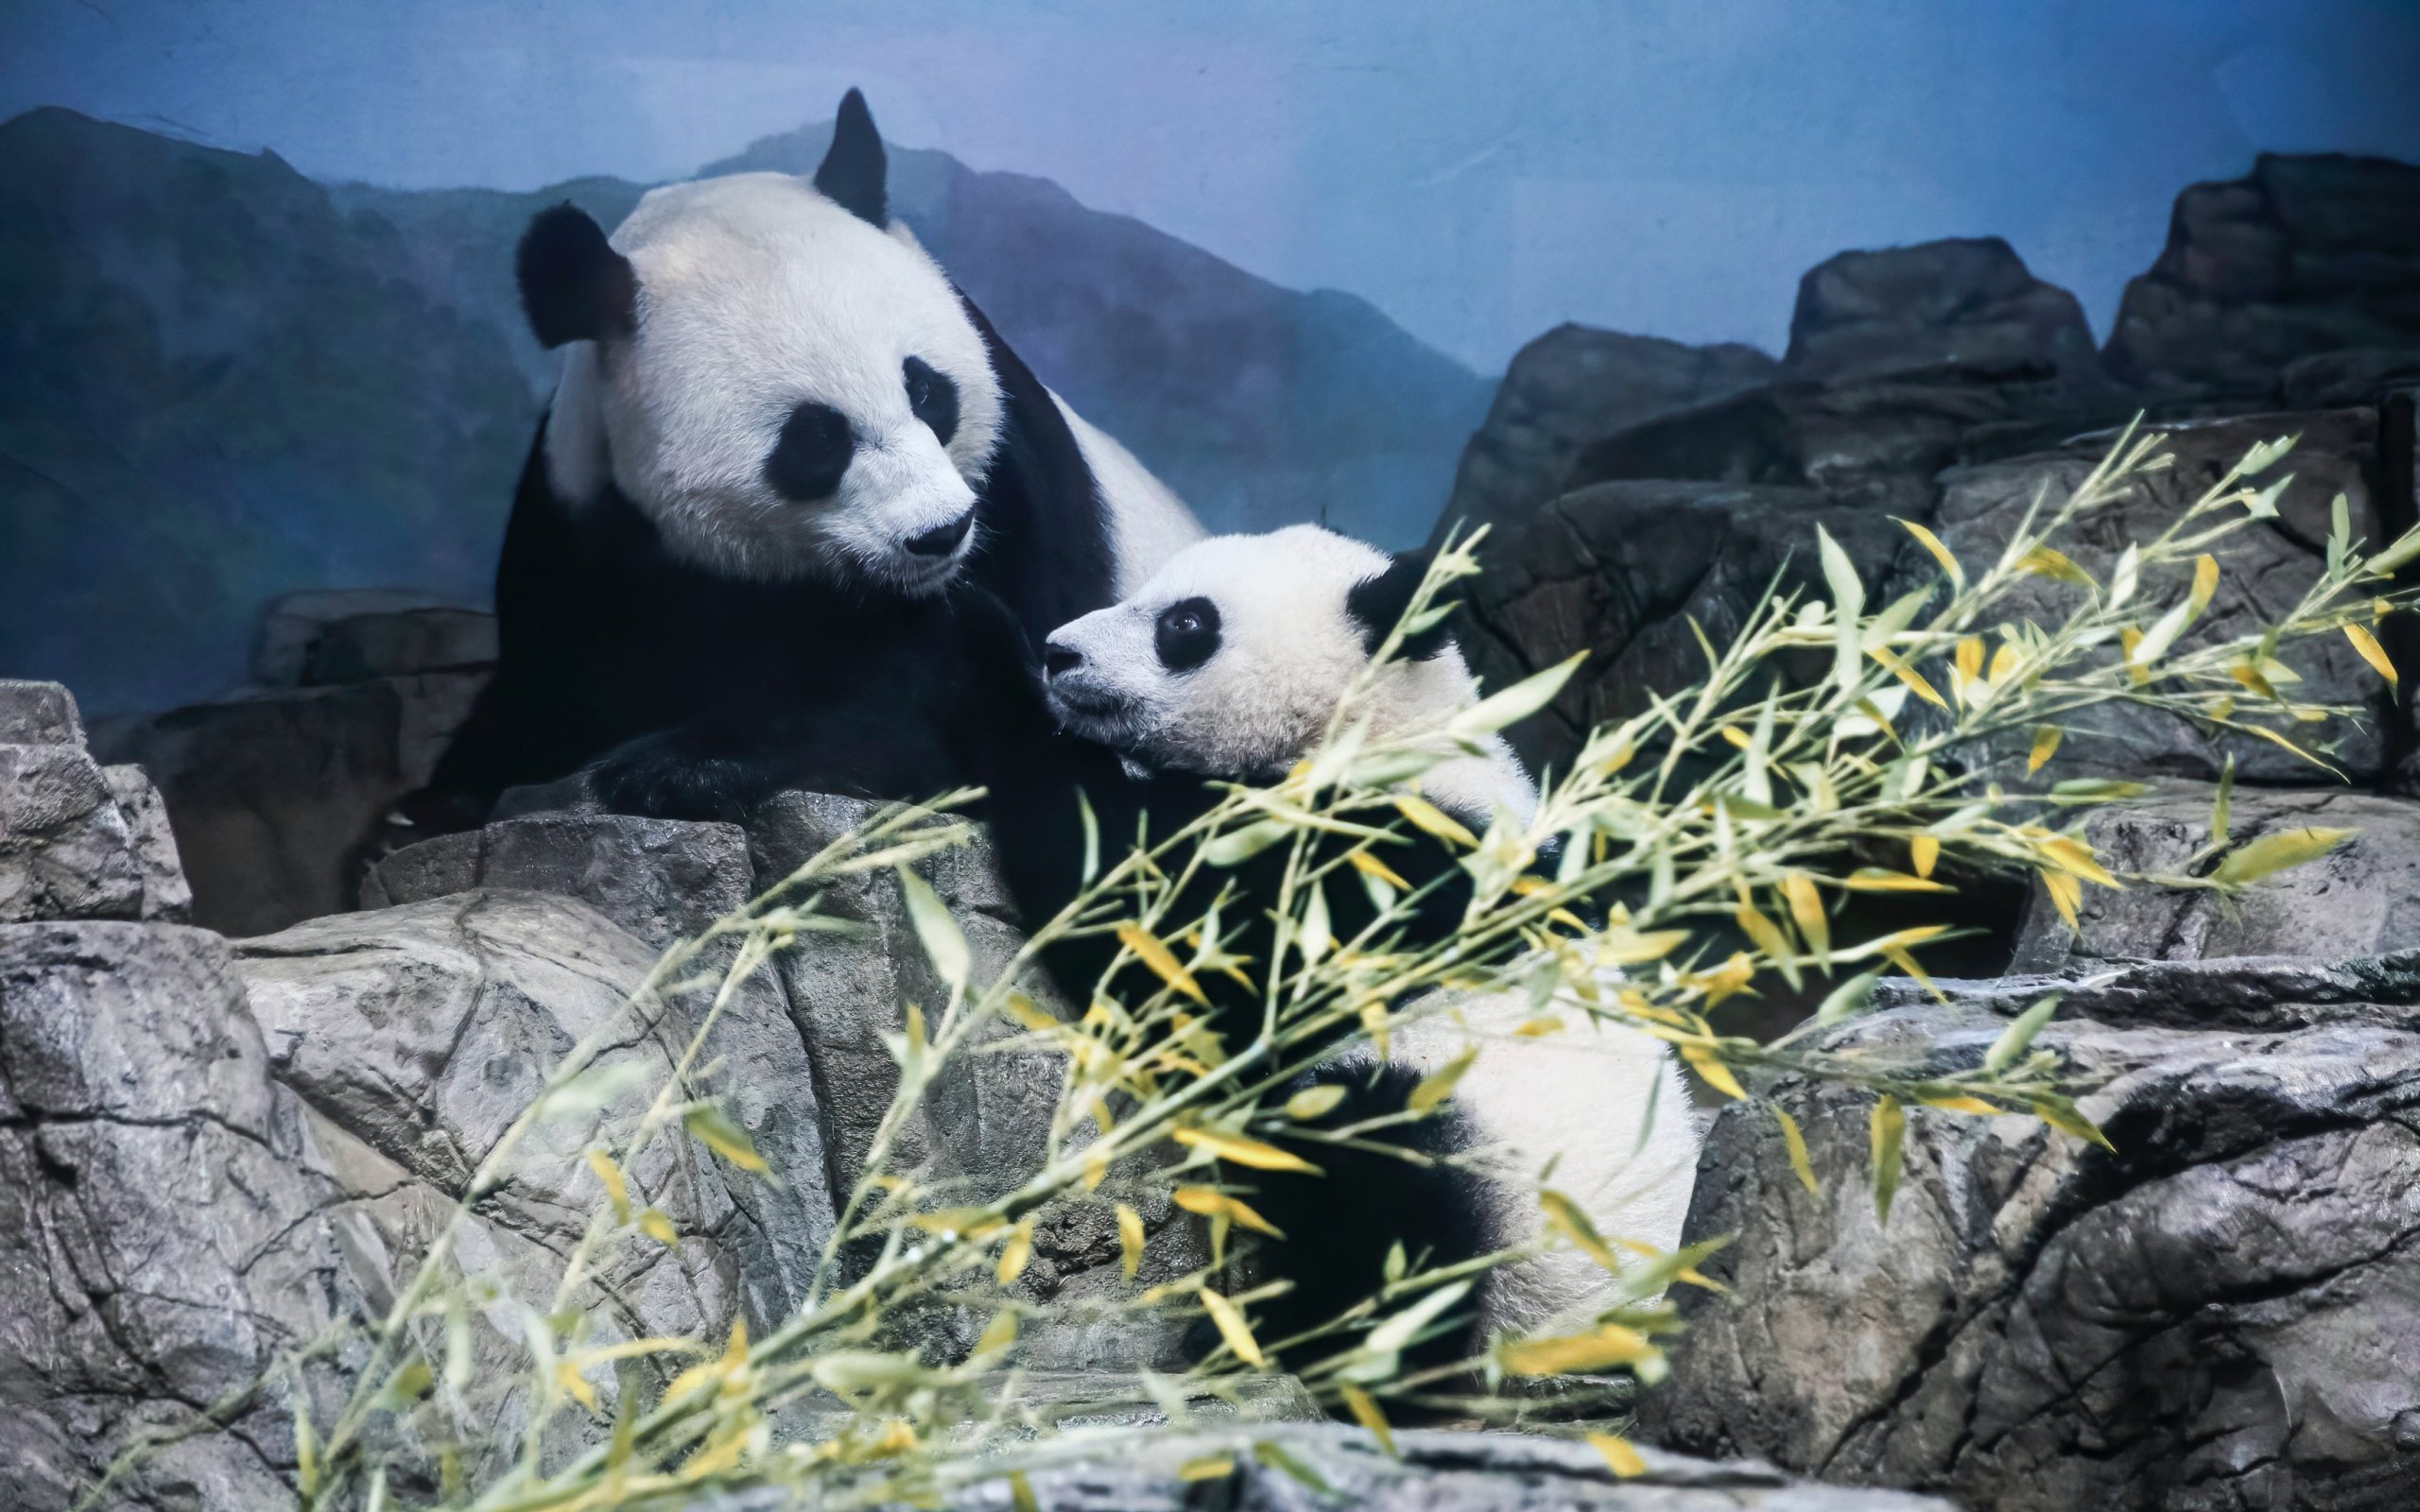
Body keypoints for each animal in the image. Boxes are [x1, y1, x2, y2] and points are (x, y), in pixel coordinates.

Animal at [413, 88, 1201, 827]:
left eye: (925, 390)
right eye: (816, 438)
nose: (940, 533)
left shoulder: (1017, 500)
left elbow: (932, 711)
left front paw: (682, 766)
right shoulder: (586, 528)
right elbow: (555, 680)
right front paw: (441, 802)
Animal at [986, 523, 1701, 1365]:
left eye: (1186, 623)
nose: (1060, 653)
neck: (1383, 729)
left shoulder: (1384, 869)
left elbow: (1149, 910)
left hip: (1513, 1196)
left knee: (1384, 1180)